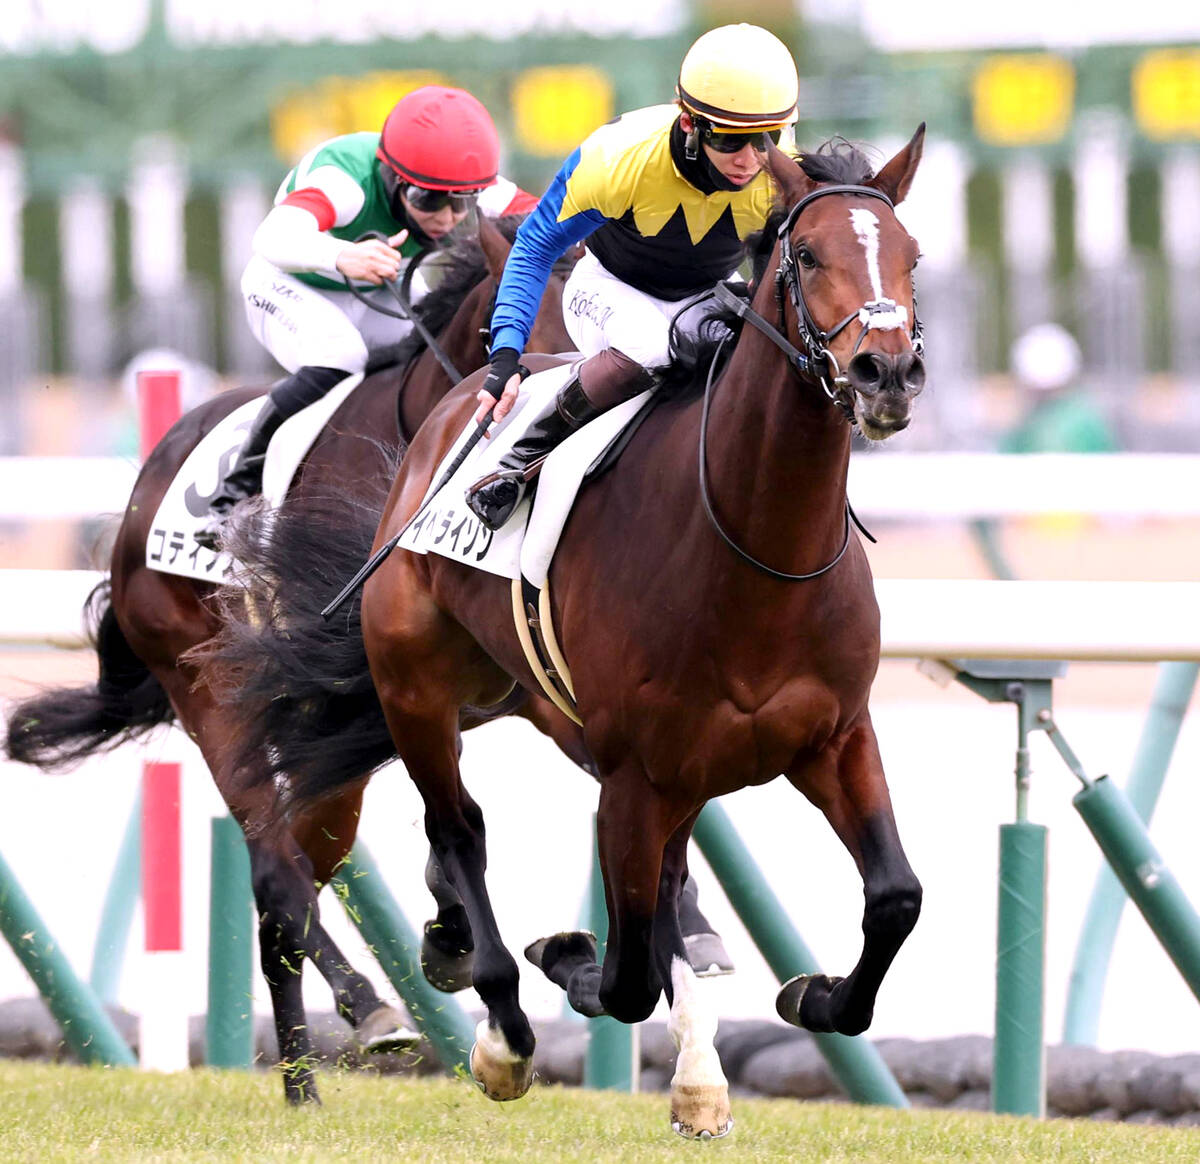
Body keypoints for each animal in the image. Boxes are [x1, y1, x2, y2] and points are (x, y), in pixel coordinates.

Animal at [3, 215, 577, 1103]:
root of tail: (144, 487)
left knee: (298, 875)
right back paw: (360, 1022)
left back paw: (309, 1074)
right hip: (209, 689)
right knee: (277, 868)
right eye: (520, 336)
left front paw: (451, 931)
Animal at [237, 129, 928, 1136]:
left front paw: (813, 996)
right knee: (457, 829)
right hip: (416, 688)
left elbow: (894, 898)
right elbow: (629, 969)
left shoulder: (833, 739)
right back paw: (486, 1030)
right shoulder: (637, 773)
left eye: (912, 257)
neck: (758, 546)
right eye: (805, 256)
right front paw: (566, 960)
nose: (887, 373)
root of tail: (450, 417)